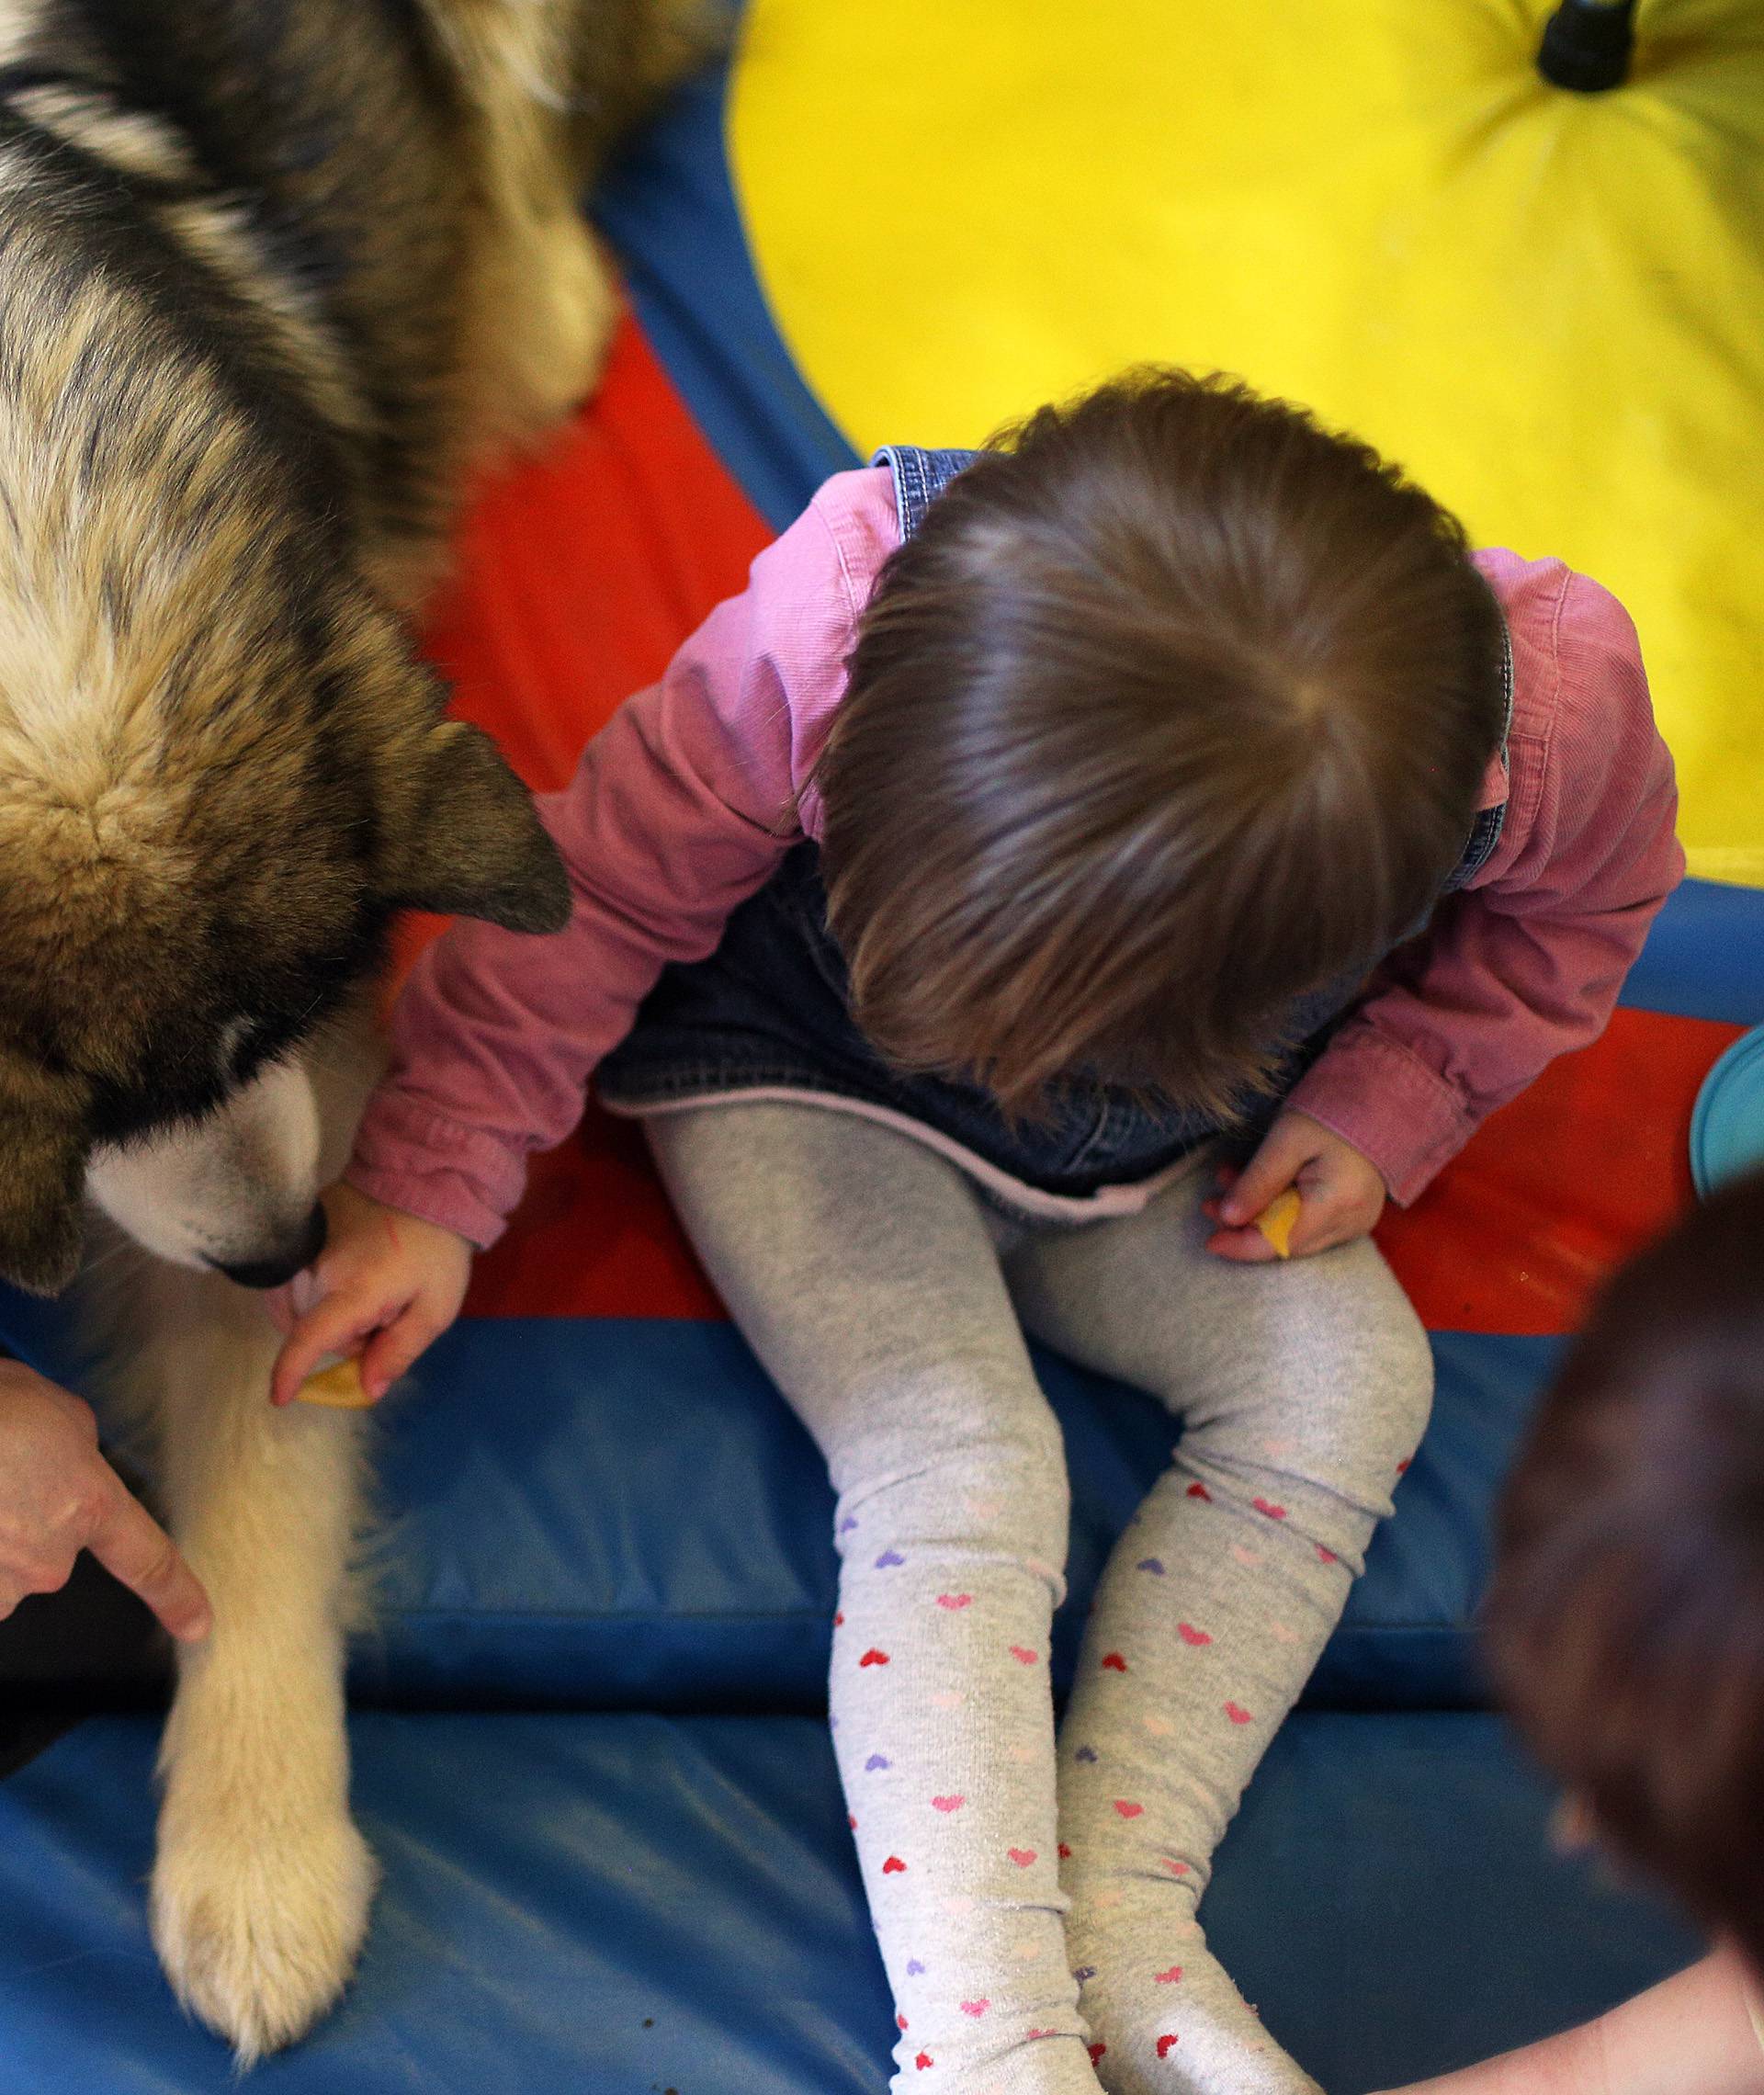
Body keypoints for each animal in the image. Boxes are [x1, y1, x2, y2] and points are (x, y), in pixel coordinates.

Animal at [0, 0, 695, 2061]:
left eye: (285, 1020)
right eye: (87, 1121)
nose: (283, 1250)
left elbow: (260, 1477)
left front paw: (255, 1854)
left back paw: (531, 312)